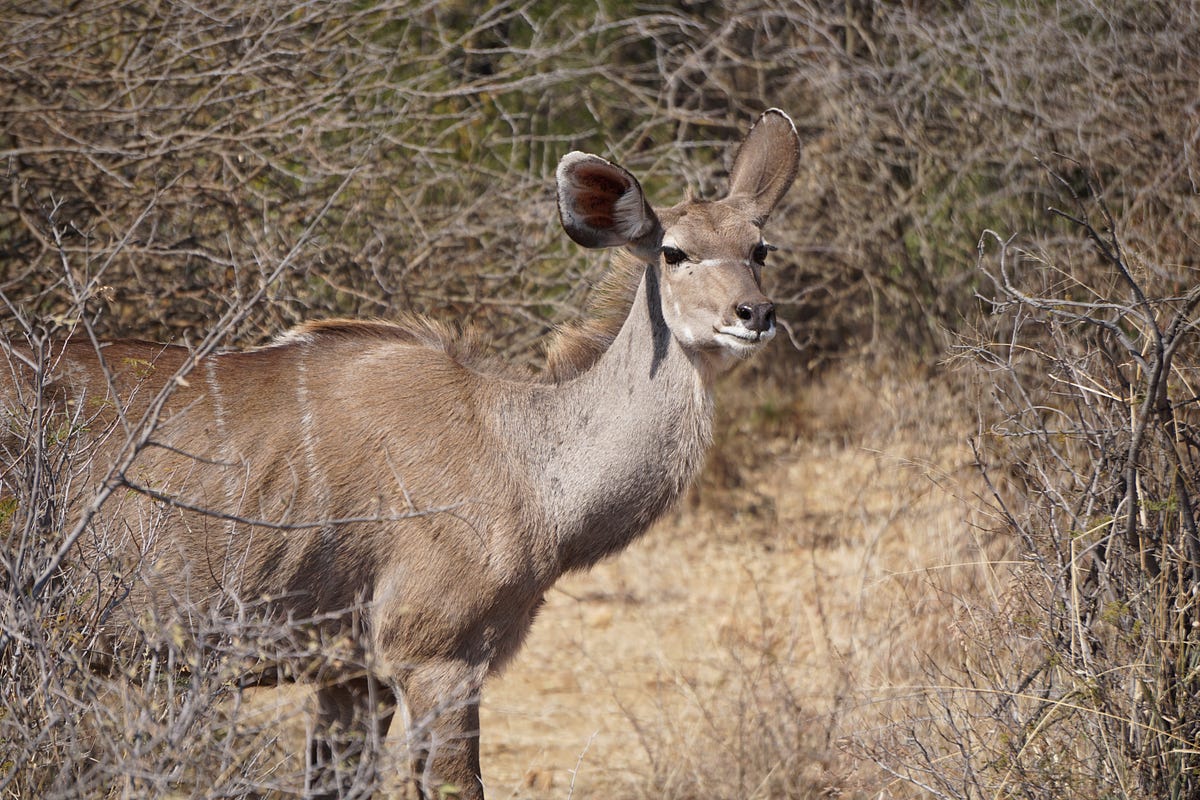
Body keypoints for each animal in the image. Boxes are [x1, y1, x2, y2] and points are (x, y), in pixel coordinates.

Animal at [0, 109, 800, 799]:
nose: (755, 314)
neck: (523, 456)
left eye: (760, 250)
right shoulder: (436, 658)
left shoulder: (352, 675)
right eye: (674, 252)